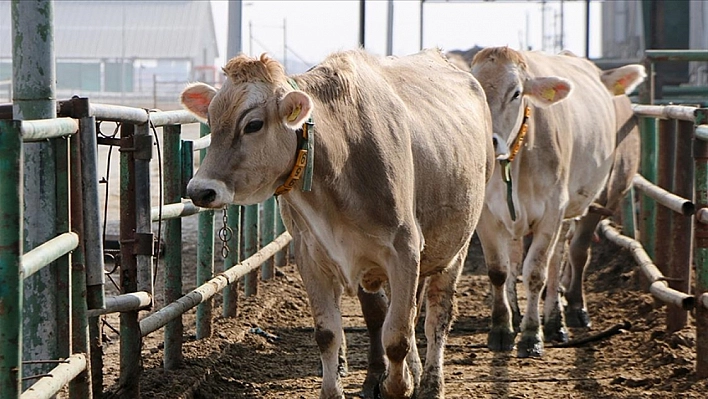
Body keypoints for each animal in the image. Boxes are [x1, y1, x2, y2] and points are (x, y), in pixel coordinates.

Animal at [180, 50, 496, 399]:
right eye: (211, 121)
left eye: (253, 124)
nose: (200, 190)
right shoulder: (310, 255)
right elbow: (329, 333)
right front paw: (339, 389)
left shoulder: (404, 250)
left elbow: (396, 336)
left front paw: (398, 386)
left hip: (456, 246)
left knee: (437, 313)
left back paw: (429, 383)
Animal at [470, 47, 648, 360]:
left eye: (516, 93)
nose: (488, 142)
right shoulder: (487, 215)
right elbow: (499, 270)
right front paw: (502, 328)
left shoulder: (552, 212)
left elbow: (536, 272)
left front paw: (531, 335)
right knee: (521, 258)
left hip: (587, 203)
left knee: (568, 255)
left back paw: (562, 318)